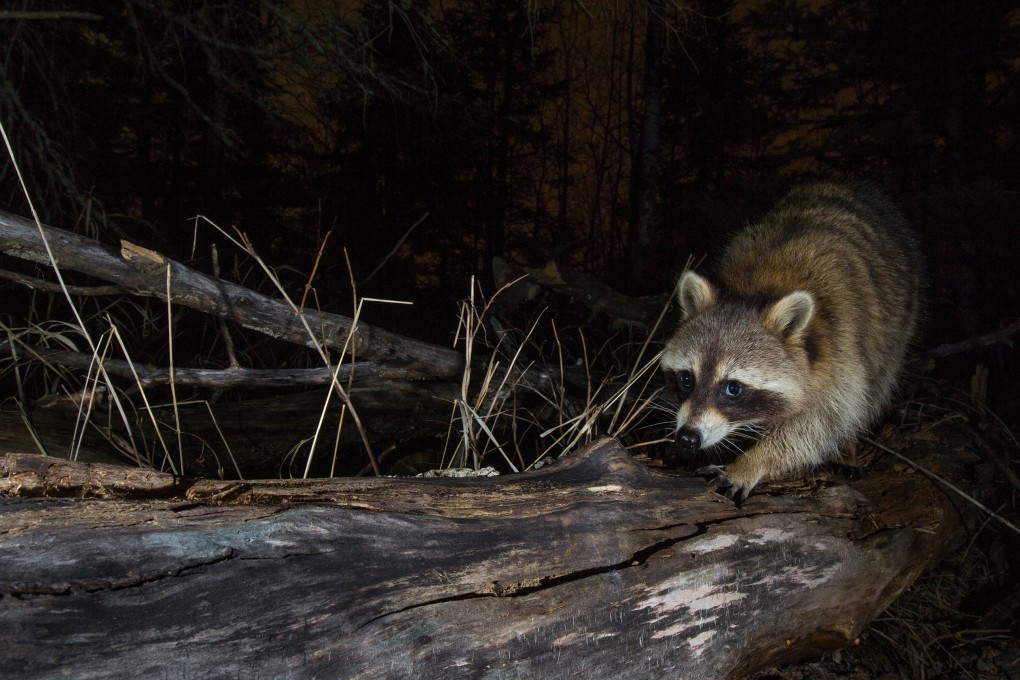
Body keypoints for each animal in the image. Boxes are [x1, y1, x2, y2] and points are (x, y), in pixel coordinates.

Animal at [660, 181, 922, 502]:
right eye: (686, 378)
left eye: (733, 388)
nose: (688, 436)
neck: (754, 289)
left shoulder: (842, 351)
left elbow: (822, 423)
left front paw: (752, 462)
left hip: (898, 323)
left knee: (875, 389)